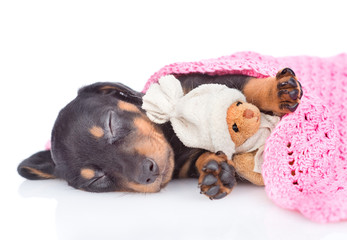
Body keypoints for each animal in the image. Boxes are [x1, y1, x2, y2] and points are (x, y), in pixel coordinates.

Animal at [17, 67, 304, 199]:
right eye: (96, 180)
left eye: (110, 123)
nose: (148, 172)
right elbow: (202, 158)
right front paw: (215, 172)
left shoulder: (210, 80)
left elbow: (248, 88)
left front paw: (276, 92)